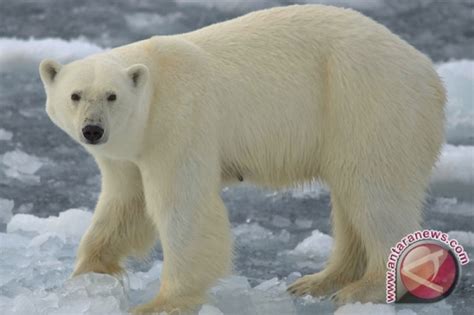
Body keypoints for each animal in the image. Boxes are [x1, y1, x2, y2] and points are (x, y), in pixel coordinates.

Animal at [39, 3, 444, 314]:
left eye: (112, 96)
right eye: (75, 95)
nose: (93, 130)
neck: (155, 83)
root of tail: (430, 72)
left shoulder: (179, 121)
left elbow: (182, 207)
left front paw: (161, 303)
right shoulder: (130, 151)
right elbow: (127, 203)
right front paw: (87, 276)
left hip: (366, 99)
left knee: (375, 192)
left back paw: (366, 287)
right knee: (351, 197)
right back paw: (318, 281)